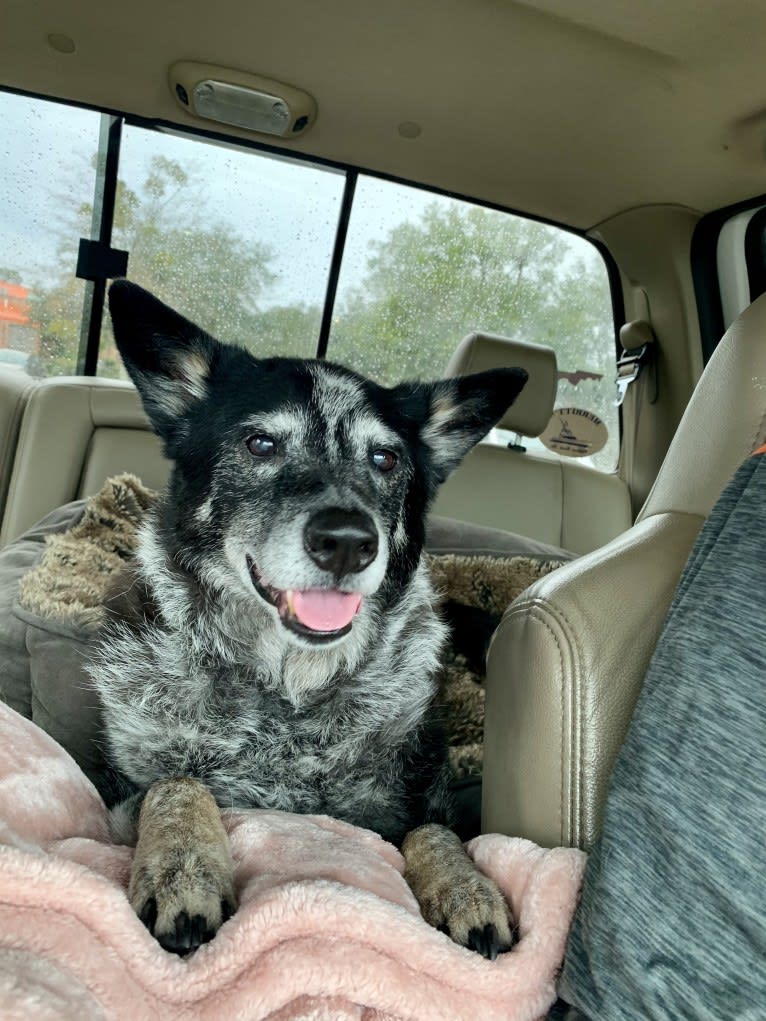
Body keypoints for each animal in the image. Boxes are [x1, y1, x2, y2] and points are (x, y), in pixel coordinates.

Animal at [89, 277, 531, 955]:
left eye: (384, 459)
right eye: (260, 444)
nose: (348, 542)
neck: (287, 695)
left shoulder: (416, 800)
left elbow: (434, 834)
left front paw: (467, 890)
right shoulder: (115, 789)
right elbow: (177, 783)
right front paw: (184, 873)